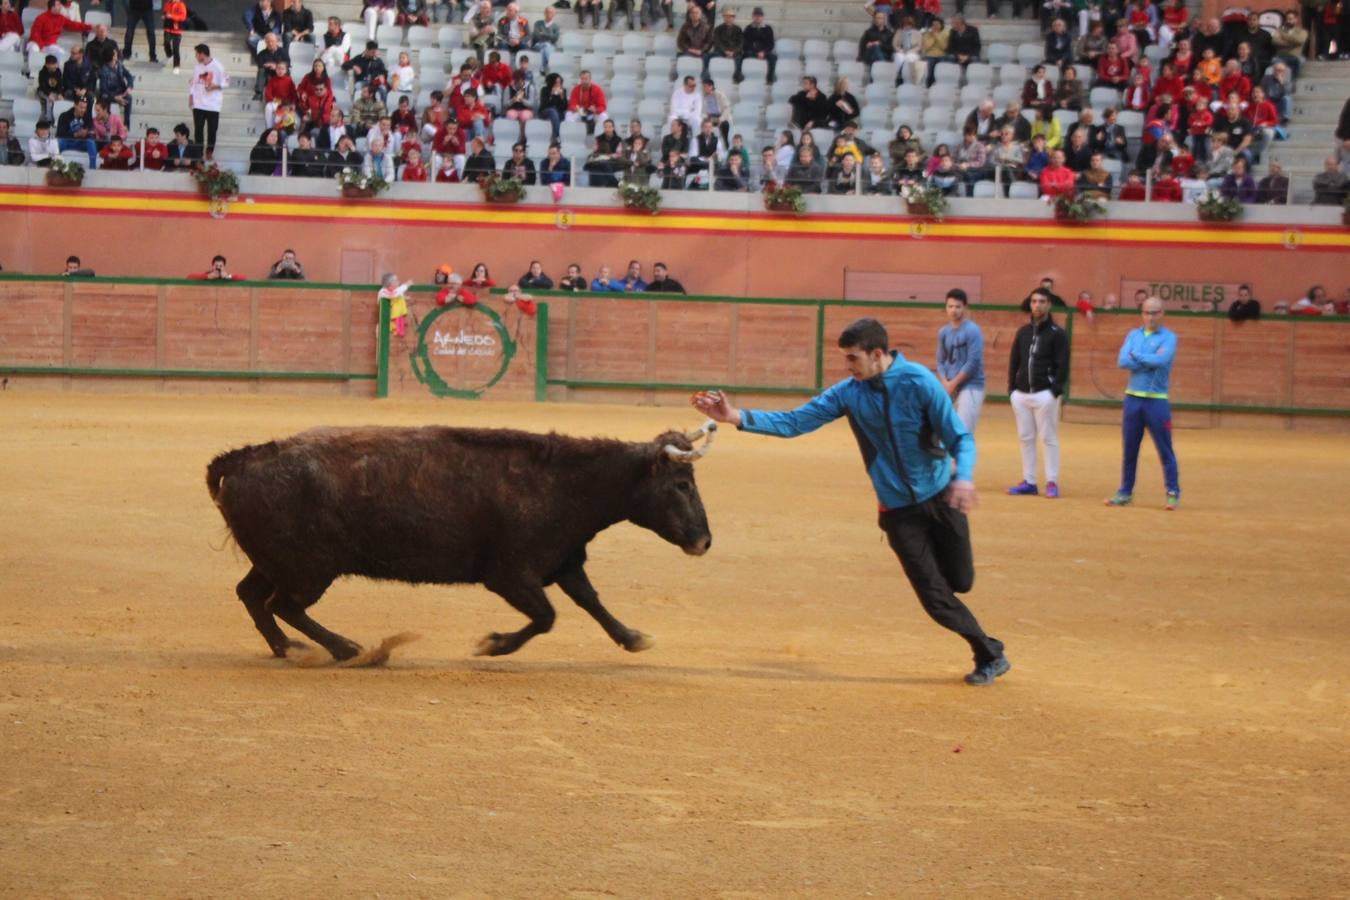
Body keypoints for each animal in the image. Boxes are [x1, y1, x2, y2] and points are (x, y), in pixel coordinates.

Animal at [205, 423, 718, 661]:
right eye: (680, 485)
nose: (704, 541)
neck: (565, 483)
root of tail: (244, 458)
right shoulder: (510, 575)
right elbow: (547, 617)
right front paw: (493, 645)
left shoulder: (563, 562)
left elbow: (591, 601)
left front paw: (634, 638)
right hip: (309, 569)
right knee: (282, 605)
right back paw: (350, 650)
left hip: (277, 562)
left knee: (253, 596)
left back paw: (288, 648)